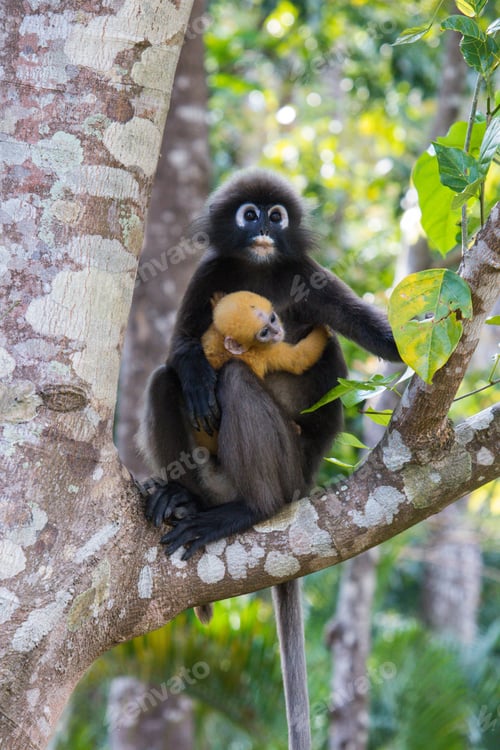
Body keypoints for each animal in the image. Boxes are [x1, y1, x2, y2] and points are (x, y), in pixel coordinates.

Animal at [196, 290, 330, 454]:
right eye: (265, 332)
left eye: (272, 319)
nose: (277, 331)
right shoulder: (266, 352)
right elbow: (299, 360)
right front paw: (323, 330)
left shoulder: (211, 339)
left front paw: (217, 301)